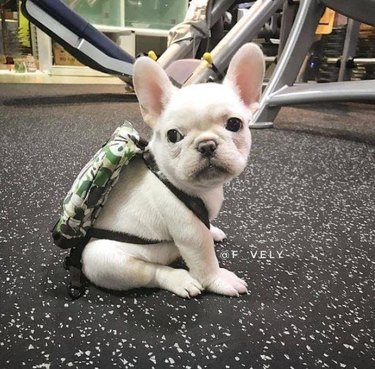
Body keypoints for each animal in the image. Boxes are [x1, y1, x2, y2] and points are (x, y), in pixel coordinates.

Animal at [82, 43, 266, 296]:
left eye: (234, 124)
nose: (206, 145)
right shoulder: (190, 231)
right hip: (103, 260)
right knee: (151, 272)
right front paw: (219, 279)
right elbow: (205, 258)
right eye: (173, 136)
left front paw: (213, 230)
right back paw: (181, 280)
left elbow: (207, 229)